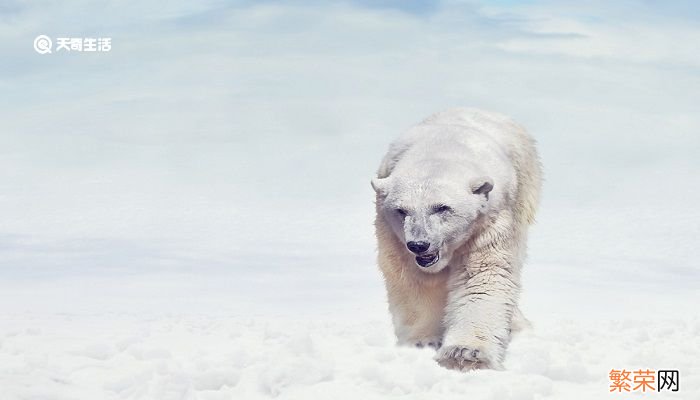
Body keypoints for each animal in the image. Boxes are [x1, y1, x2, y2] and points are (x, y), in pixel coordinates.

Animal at [372, 108, 540, 370]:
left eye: (442, 207)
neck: (442, 149)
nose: (419, 244)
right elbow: (416, 280)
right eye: (401, 210)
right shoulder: (391, 232)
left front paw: (466, 354)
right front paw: (423, 342)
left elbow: (482, 276)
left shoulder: (490, 220)